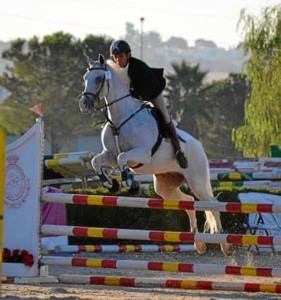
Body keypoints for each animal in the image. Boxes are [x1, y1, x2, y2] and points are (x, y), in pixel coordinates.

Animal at [78, 54, 230, 255]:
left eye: (98, 79)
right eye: (85, 78)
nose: (84, 105)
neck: (120, 119)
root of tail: (199, 146)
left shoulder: (142, 154)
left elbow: (122, 158)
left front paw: (130, 183)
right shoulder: (108, 155)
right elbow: (97, 162)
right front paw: (112, 185)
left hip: (196, 181)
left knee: (212, 205)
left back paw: (225, 245)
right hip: (165, 186)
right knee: (189, 201)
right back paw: (198, 243)